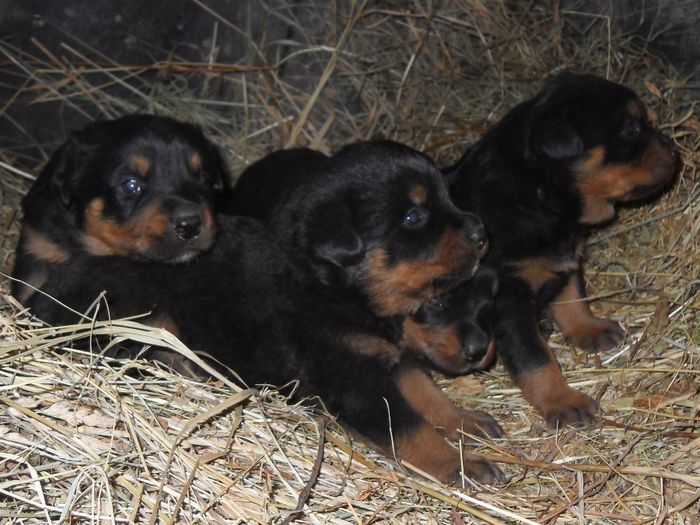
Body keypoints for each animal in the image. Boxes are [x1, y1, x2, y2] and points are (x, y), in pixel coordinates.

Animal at [446, 72, 680, 426]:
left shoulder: (565, 257)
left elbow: (573, 298)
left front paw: (590, 329)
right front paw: (563, 400)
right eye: (630, 129)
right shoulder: (507, 301)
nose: (675, 152)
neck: (539, 195)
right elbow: (535, 358)